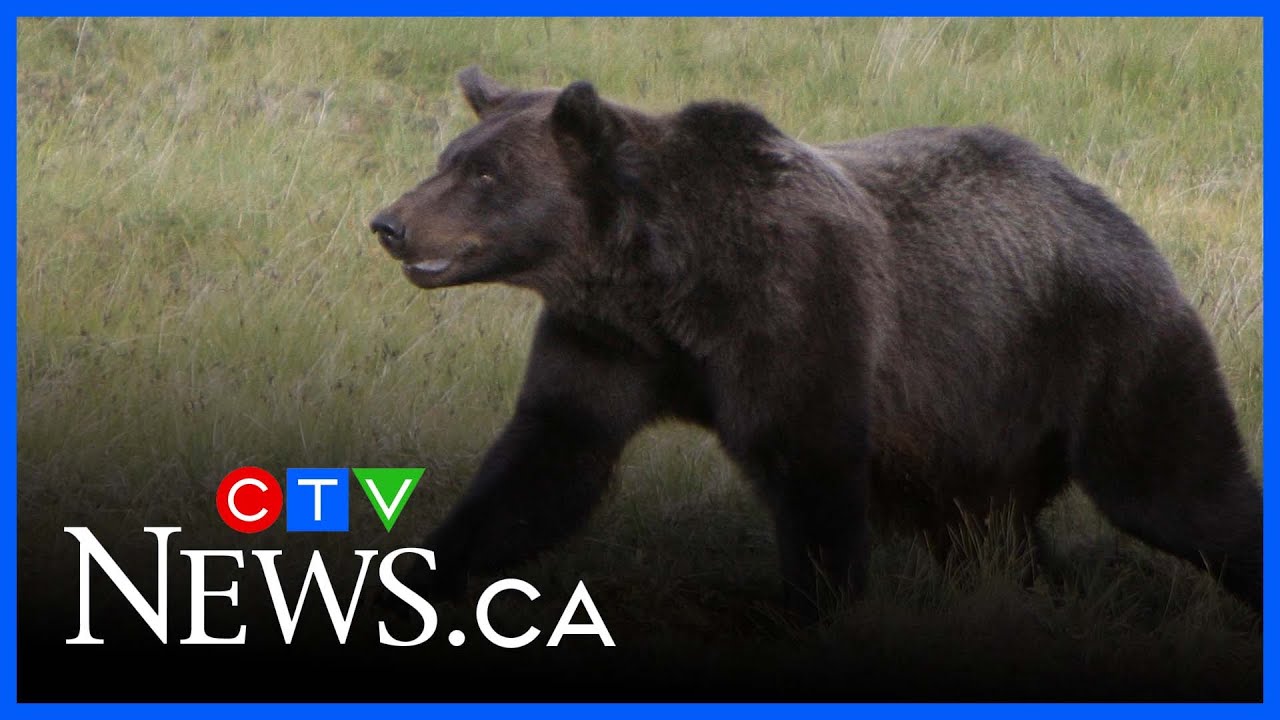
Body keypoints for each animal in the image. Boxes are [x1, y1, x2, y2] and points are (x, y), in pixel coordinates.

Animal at [368, 66, 1262, 617]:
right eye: (449, 158)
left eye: (485, 175)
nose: (389, 222)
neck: (665, 280)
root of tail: (1113, 210)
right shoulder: (608, 344)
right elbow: (544, 461)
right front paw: (411, 585)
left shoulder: (798, 309)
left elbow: (811, 464)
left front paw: (814, 607)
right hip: (969, 421)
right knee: (988, 530)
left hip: (1099, 349)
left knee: (1178, 484)